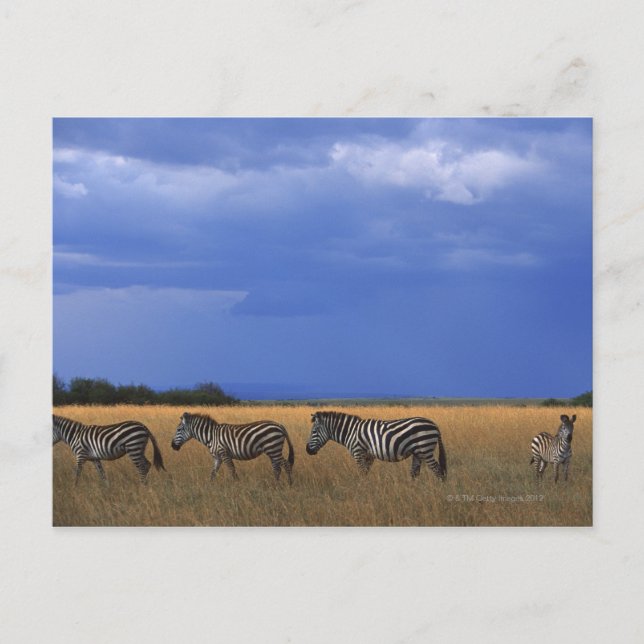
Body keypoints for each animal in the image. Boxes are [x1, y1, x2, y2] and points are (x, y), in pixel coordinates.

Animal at [305, 411, 447, 480]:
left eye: (314, 431)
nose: (307, 450)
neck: (351, 431)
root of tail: (435, 425)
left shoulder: (358, 452)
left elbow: (362, 473)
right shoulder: (369, 455)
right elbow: (366, 473)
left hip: (425, 449)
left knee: (438, 471)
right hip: (418, 452)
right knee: (415, 473)